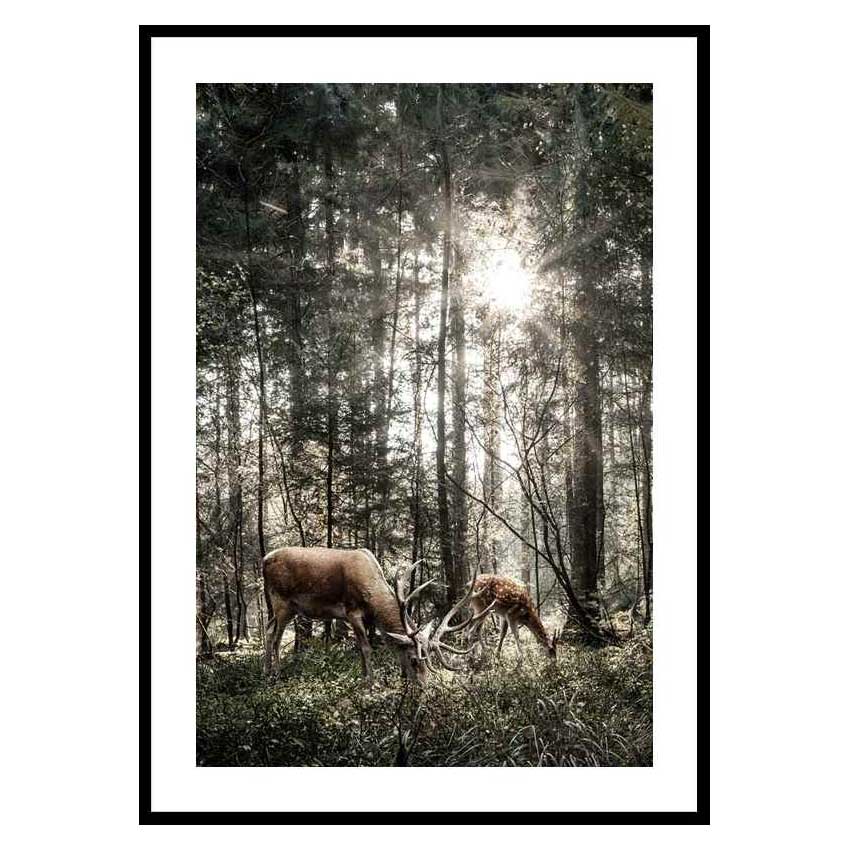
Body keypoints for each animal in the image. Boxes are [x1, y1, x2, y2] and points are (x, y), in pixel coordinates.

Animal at [262, 546, 494, 683]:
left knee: (268, 629)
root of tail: (264, 559)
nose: (423, 686)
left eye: (428, 661)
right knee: (276, 636)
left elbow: (361, 647)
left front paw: (364, 676)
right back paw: (276, 673)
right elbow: (366, 648)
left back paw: (266, 670)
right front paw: (370, 683)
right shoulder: (351, 611)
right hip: (281, 601)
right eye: (413, 660)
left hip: (284, 607)